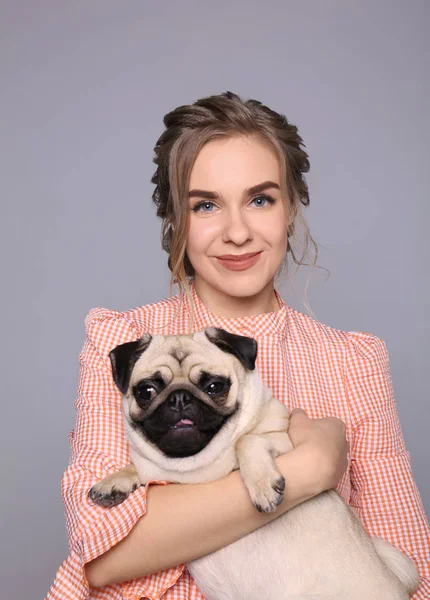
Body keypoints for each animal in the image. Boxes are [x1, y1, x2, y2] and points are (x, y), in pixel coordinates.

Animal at [88, 328, 420, 600]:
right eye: (147, 391)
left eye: (214, 386)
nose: (180, 398)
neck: (197, 468)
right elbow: (141, 467)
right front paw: (113, 482)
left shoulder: (285, 441)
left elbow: (246, 440)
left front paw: (263, 488)